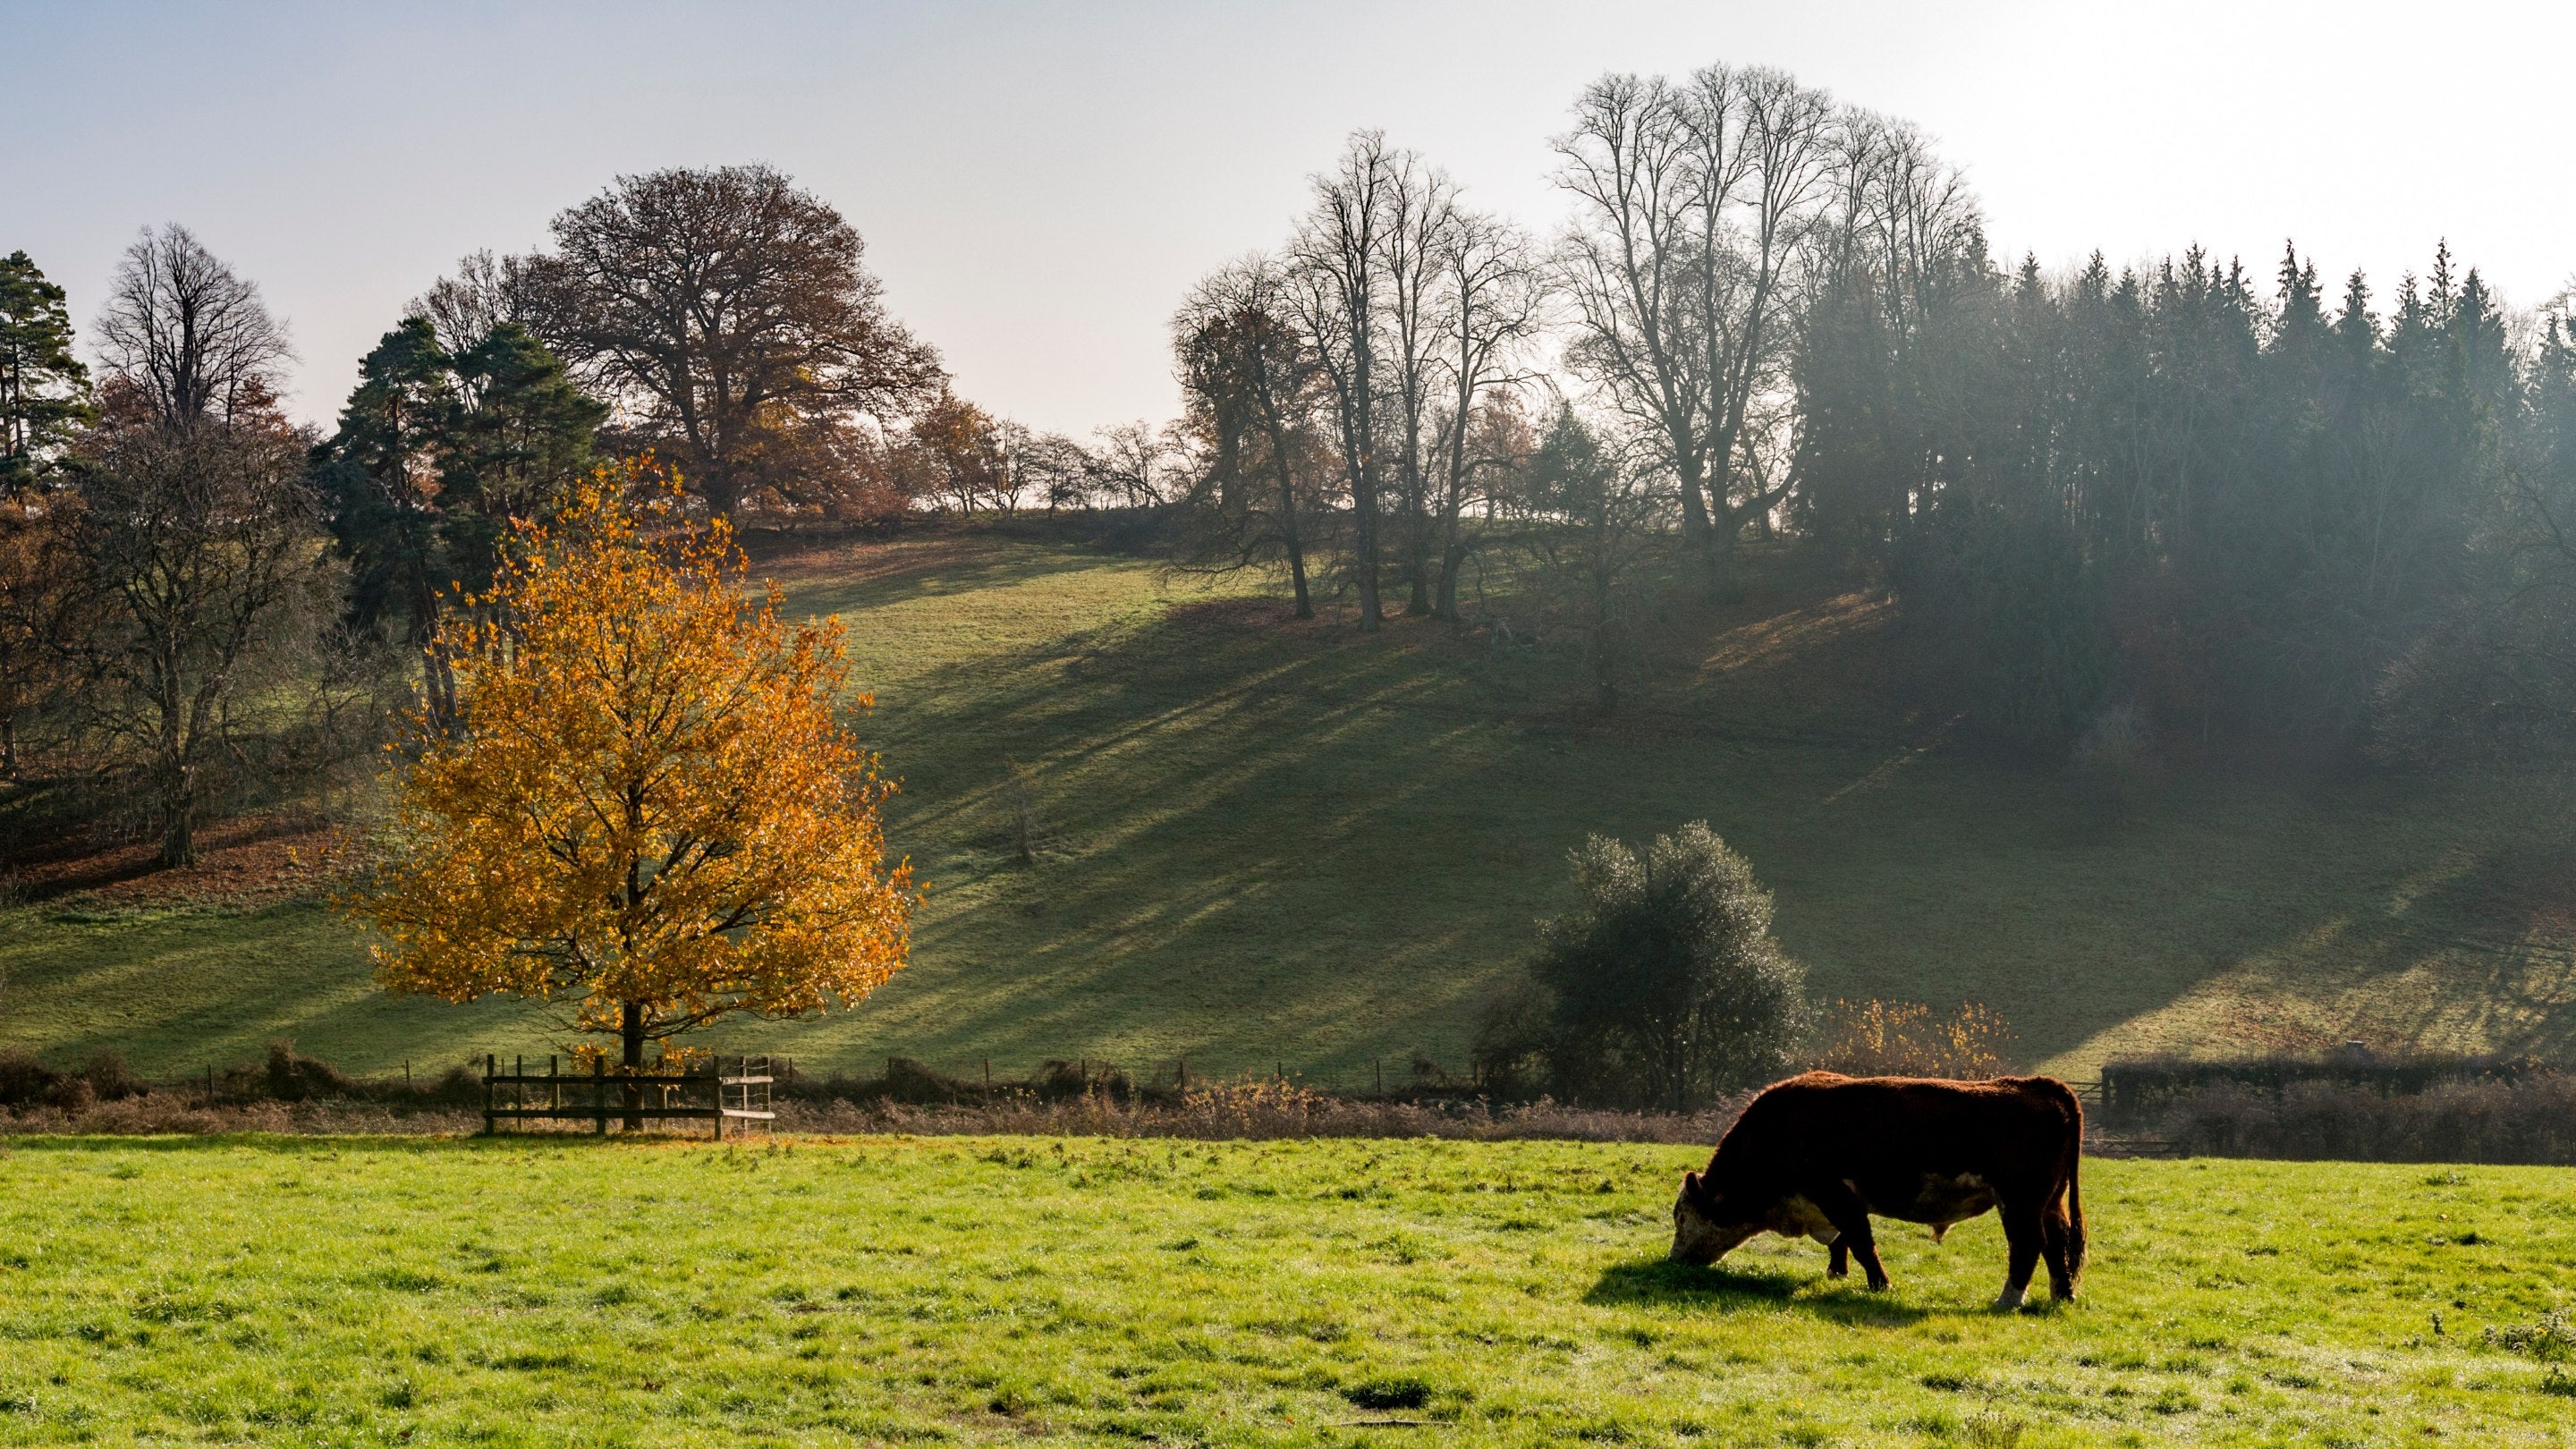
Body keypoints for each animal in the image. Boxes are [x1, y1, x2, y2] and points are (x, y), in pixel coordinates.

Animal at [1668, 1071, 2086, 1309]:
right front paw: (1837, 1274)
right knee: (2056, 1243)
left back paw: (2007, 1300)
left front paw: (1880, 1286)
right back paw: (2062, 1295)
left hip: (2019, 1201)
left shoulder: (1834, 1193)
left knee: (2028, 1245)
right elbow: (1842, 1242)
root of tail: (2039, 1087)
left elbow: (1859, 1241)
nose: (1673, 1260)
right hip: (2050, 1202)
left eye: (1682, 1217)